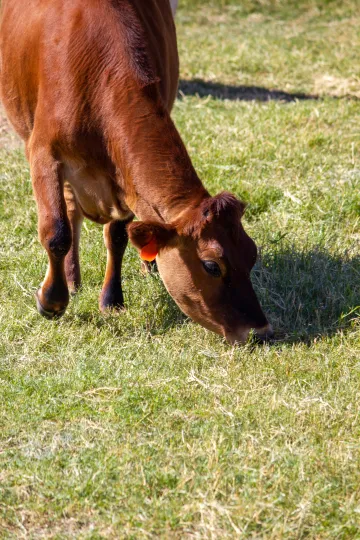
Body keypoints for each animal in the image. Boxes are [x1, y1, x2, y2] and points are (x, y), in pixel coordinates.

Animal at [0, 0, 272, 344]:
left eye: (251, 254)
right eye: (212, 266)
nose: (261, 331)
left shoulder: (125, 181)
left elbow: (118, 236)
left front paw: (112, 300)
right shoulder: (43, 152)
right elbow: (56, 231)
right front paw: (51, 301)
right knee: (69, 214)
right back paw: (72, 280)